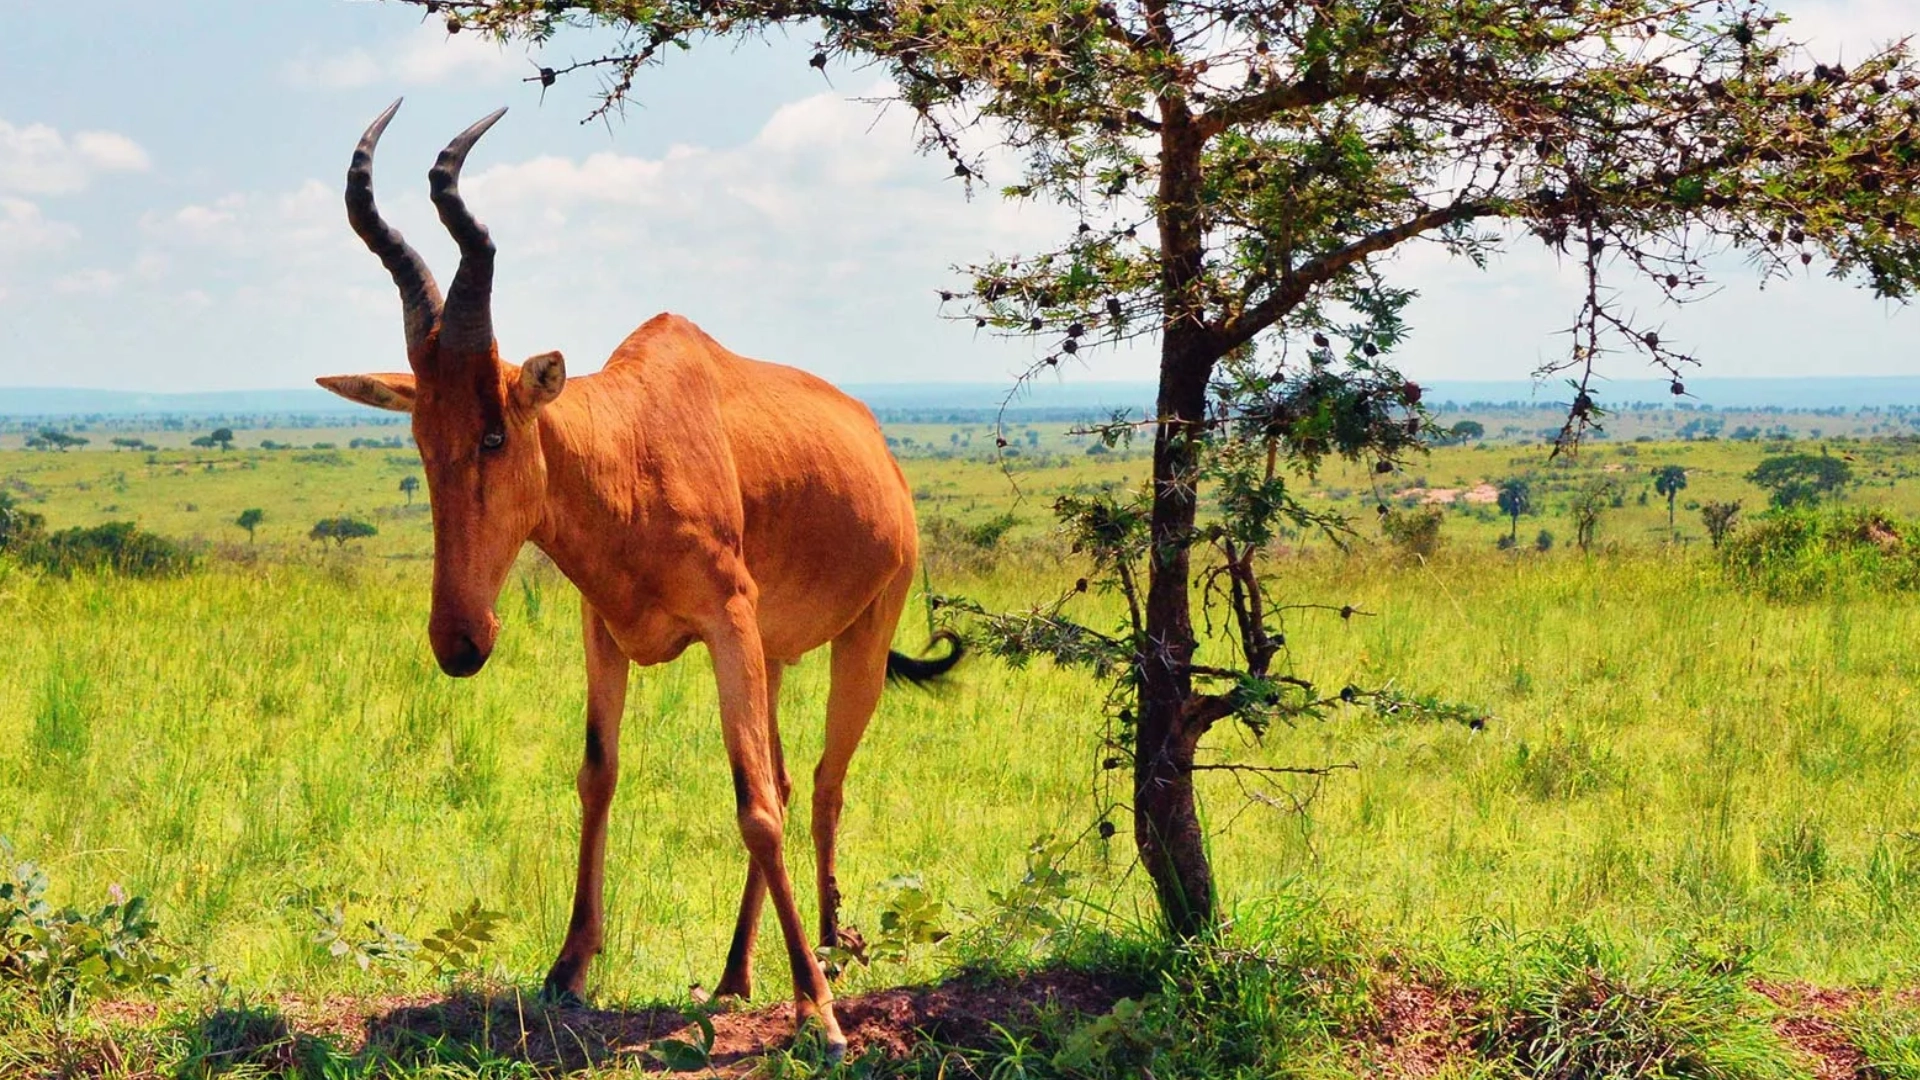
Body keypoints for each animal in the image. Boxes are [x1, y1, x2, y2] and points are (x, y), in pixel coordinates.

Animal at [316, 100, 960, 1056]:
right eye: (422, 439)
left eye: (495, 433)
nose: (461, 641)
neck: (635, 438)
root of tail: (880, 446)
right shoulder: (605, 635)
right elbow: (599, 776)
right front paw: (567, 971)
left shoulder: (727, 624)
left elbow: (754, 806)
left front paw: (819, 1018)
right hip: (773, 657)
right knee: (783, 775)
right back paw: (733, 975)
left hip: (862, 637)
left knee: (820, 783)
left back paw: (830, 955)